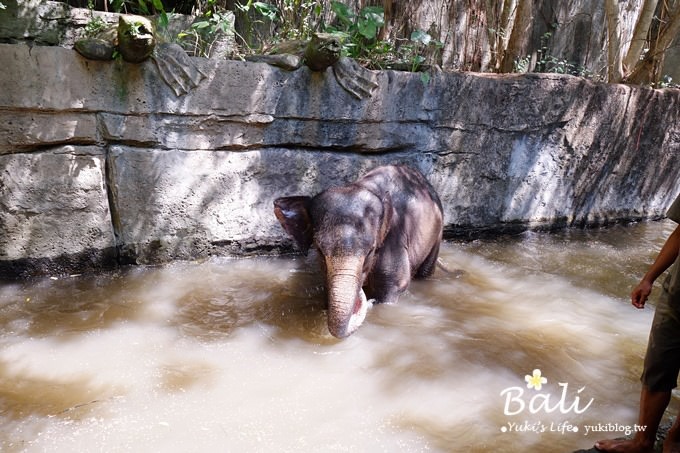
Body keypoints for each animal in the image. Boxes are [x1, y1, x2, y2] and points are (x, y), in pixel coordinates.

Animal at [274, 164, 444, 338]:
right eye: (320, 251)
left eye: (371, 251)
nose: (363, 297)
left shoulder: (394, 243)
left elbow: (392, 288)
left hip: (437, 233)